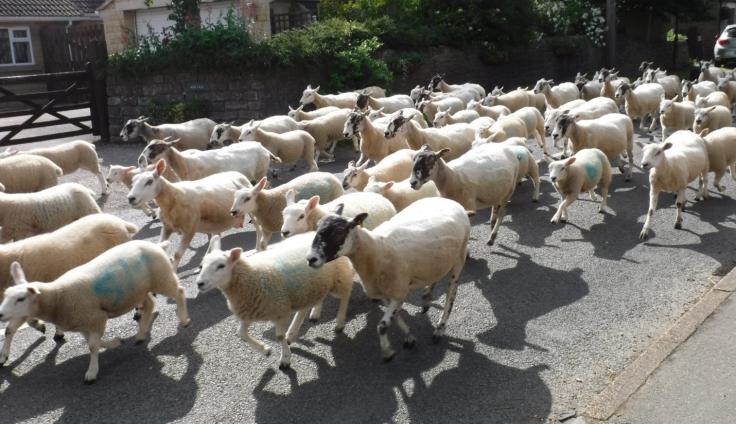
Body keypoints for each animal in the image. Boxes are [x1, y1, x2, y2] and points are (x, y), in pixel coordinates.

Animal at [0, 240, 190, 383]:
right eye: (6, 295)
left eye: (21, 299)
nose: (0, 314)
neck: (57, 298)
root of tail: (157, 245)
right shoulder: (85, 322)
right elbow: (94, 342)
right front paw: (115, 342)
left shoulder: (96, 317)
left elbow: (92, 346)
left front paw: (91, 372)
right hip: (140, 290)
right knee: (150, 304)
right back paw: (141, 334)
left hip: (161, 277)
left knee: (179, 292)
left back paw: (184, 319)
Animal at [196, 233, 352, 370]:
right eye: (201, 266)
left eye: (221, 266)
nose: (199, 283)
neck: (251, 276)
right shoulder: (249, 311)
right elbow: (241, 334)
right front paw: (266, 350)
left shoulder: (279, 311)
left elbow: (278, 336)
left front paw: (285, 359)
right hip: (309, 287)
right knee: (308, 305)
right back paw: (299, 327)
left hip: (337, 277)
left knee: (346, 293)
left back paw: (339, 322)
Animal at [306, 196, 470, 361]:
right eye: (317, 227)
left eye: (339, 231)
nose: (311, 259)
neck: (376, 250)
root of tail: (448, 200)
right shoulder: (385, 294)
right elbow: (395, 317)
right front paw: (409, 336)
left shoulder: (399, 292)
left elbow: (382, 326)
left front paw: (387, 352)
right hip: (436, 261)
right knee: (435, 276)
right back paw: (427, 298)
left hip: (459, 259)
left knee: (451, 295)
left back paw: (440, 328)